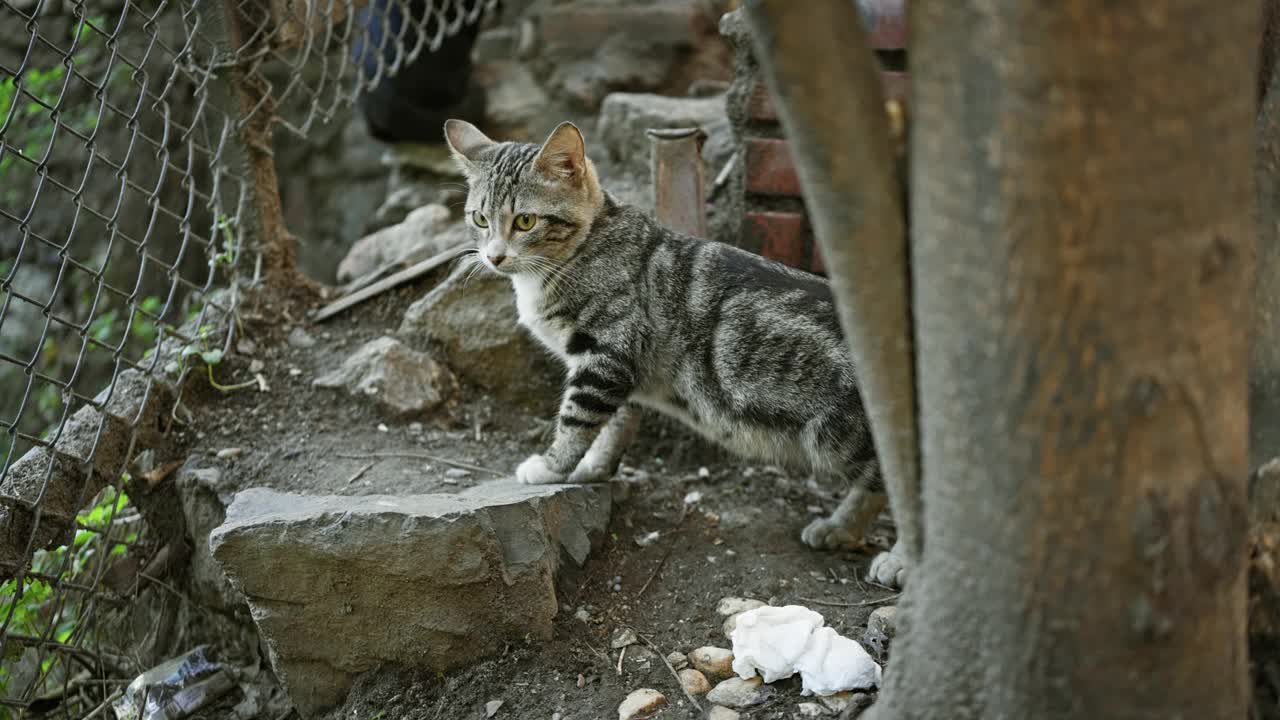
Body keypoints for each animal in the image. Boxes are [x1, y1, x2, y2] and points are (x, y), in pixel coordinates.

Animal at [445, 114, 906, 579]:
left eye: (525, 222)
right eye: (480, 219)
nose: (494, 257)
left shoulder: (607, 354)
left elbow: (576, 420)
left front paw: (553, 466)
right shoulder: (621, 372)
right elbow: (614, 427)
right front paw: (592, 468)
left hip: (845, 434)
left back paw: (899, 561)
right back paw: (839, 528)